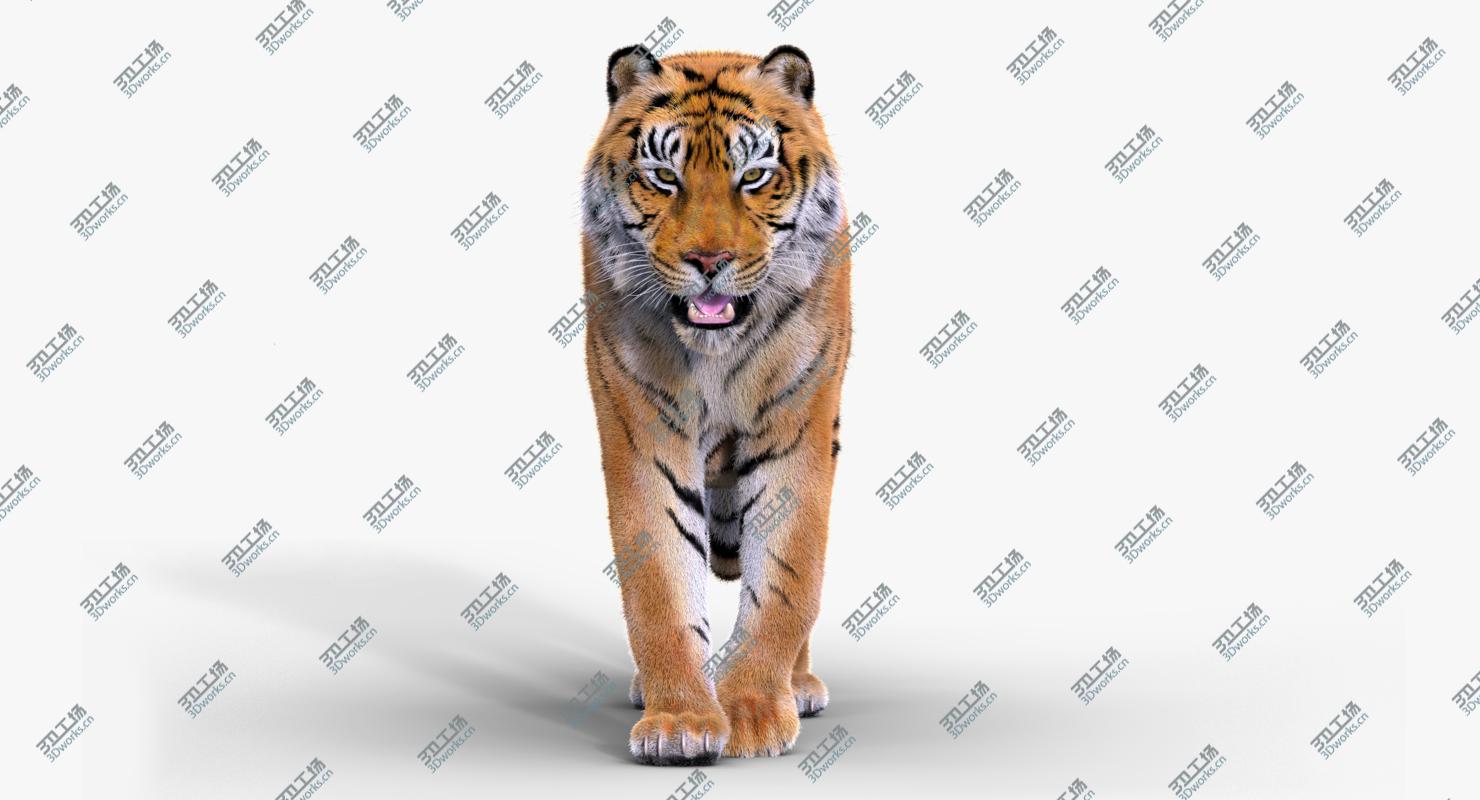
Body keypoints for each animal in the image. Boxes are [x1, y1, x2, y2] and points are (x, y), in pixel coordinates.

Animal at [580, 44, 851, 765]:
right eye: (663, 176)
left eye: (753, 175)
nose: (709, 259)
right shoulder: (644, 436)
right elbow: (661, 589)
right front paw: (680, 720)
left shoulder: (797, 437)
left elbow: (787, 579)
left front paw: (753, 712)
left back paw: (799, 686)